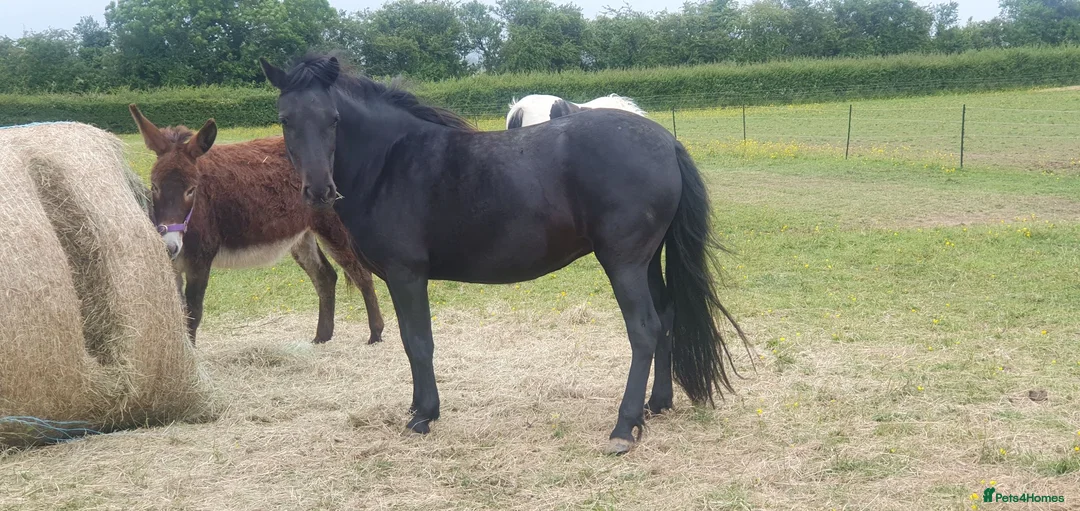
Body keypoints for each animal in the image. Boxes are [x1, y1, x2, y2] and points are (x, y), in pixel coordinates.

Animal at [128, 104, 385, 347]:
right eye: (154, 186)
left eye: (191, 189)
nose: (169, 247)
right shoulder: (173, 268)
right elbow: (178, 315)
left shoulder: (200, 261)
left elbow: (193, 314)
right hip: (302, 235)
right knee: (325, 276)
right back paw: (322, 337)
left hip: (332, 228)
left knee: (361, 274)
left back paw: (375, 334)